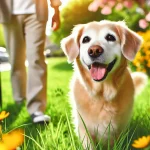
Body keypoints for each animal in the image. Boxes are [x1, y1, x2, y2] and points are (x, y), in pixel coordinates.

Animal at [60, 20, 146, 149]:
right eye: (85, 39)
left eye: (110, 37)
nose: (94, 50)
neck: (103, 94)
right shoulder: (84, 128)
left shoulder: (120, 130)